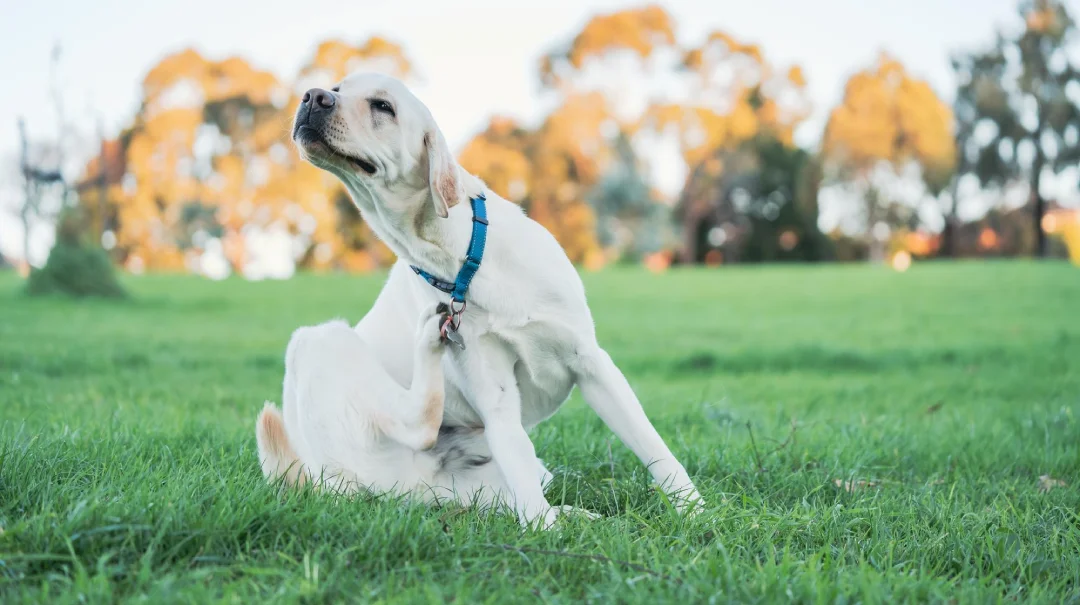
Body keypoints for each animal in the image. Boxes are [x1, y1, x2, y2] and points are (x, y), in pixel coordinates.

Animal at [257, 71, 704, 529]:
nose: (312, 96)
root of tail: (322, 481)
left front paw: (695, 512)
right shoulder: (496, 397)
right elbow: (527, 489)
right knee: (420, 425)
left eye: (383, 106)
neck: (463, 260)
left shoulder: (592, 363)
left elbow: (654, 448)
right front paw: (546, 534)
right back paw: (427, 340)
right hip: (317, 341)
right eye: (336, 89)